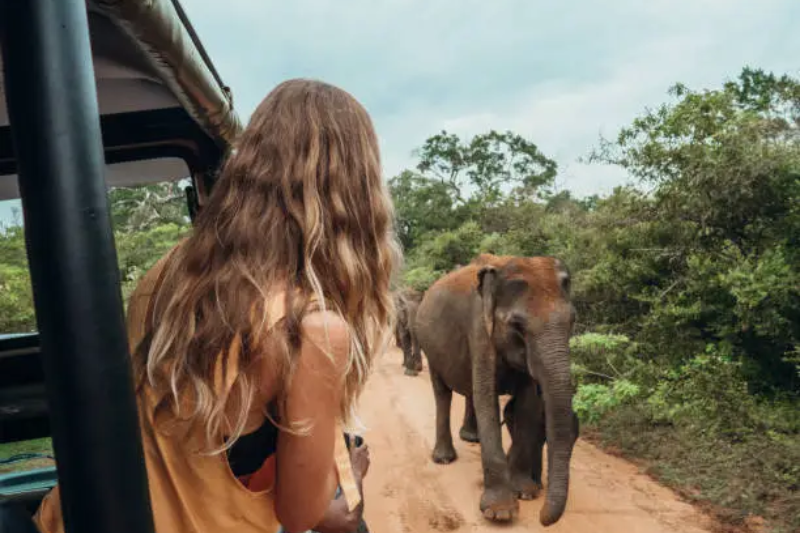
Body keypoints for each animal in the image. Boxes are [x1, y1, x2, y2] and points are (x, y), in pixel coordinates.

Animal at [414, 253, 579, 527]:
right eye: (517, 325)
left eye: (572, 321)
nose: (542, 519)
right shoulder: (479, 329)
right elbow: (487, 398)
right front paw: (500, 512)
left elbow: (527, 404)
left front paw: (525, 492)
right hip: (430, 347)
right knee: (442, 394)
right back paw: (444, 458)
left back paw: (472, 438)